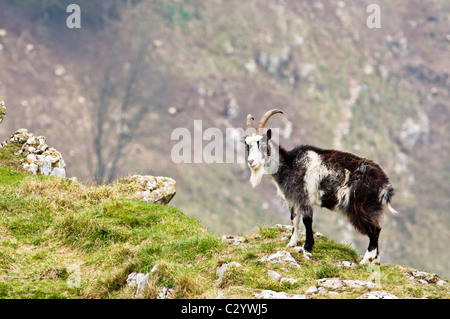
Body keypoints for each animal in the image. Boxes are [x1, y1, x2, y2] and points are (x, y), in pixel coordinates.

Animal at [243, 110, 398, 264]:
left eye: (261, 144)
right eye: (247, 145)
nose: (251, 162)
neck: (291, 164)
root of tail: (385, 184)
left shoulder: (305, 198)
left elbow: (307, 221)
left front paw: (307, 246)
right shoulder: (294, 200)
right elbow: (294, 220)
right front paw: (291, 243)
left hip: (362, 207)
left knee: (375, 229)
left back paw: (366, 259)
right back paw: (375, 260)